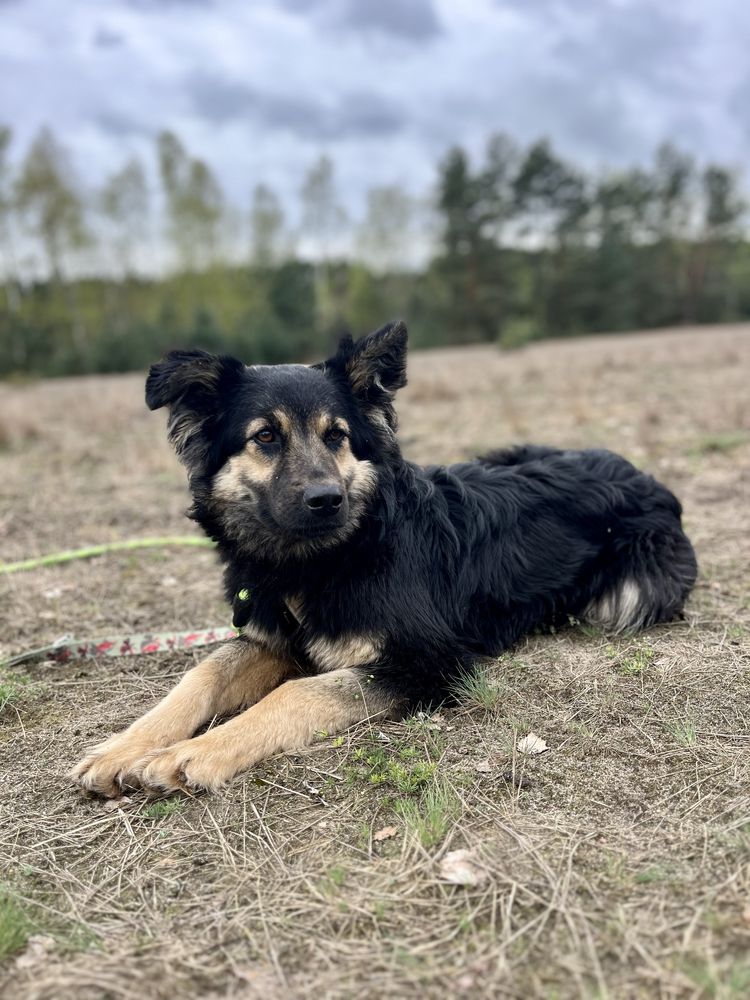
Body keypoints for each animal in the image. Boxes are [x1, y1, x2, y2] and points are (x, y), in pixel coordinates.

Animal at [70, 320, 700, 796]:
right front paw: (125, 746)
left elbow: (298, 691)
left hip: (627, 595)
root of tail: (635, 469)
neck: (325, 557)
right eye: (265, 437)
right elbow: (201, 673)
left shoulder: (431, 663)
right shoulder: (273, 637)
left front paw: (194, 752)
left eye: (337, 436)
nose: (327, 499)